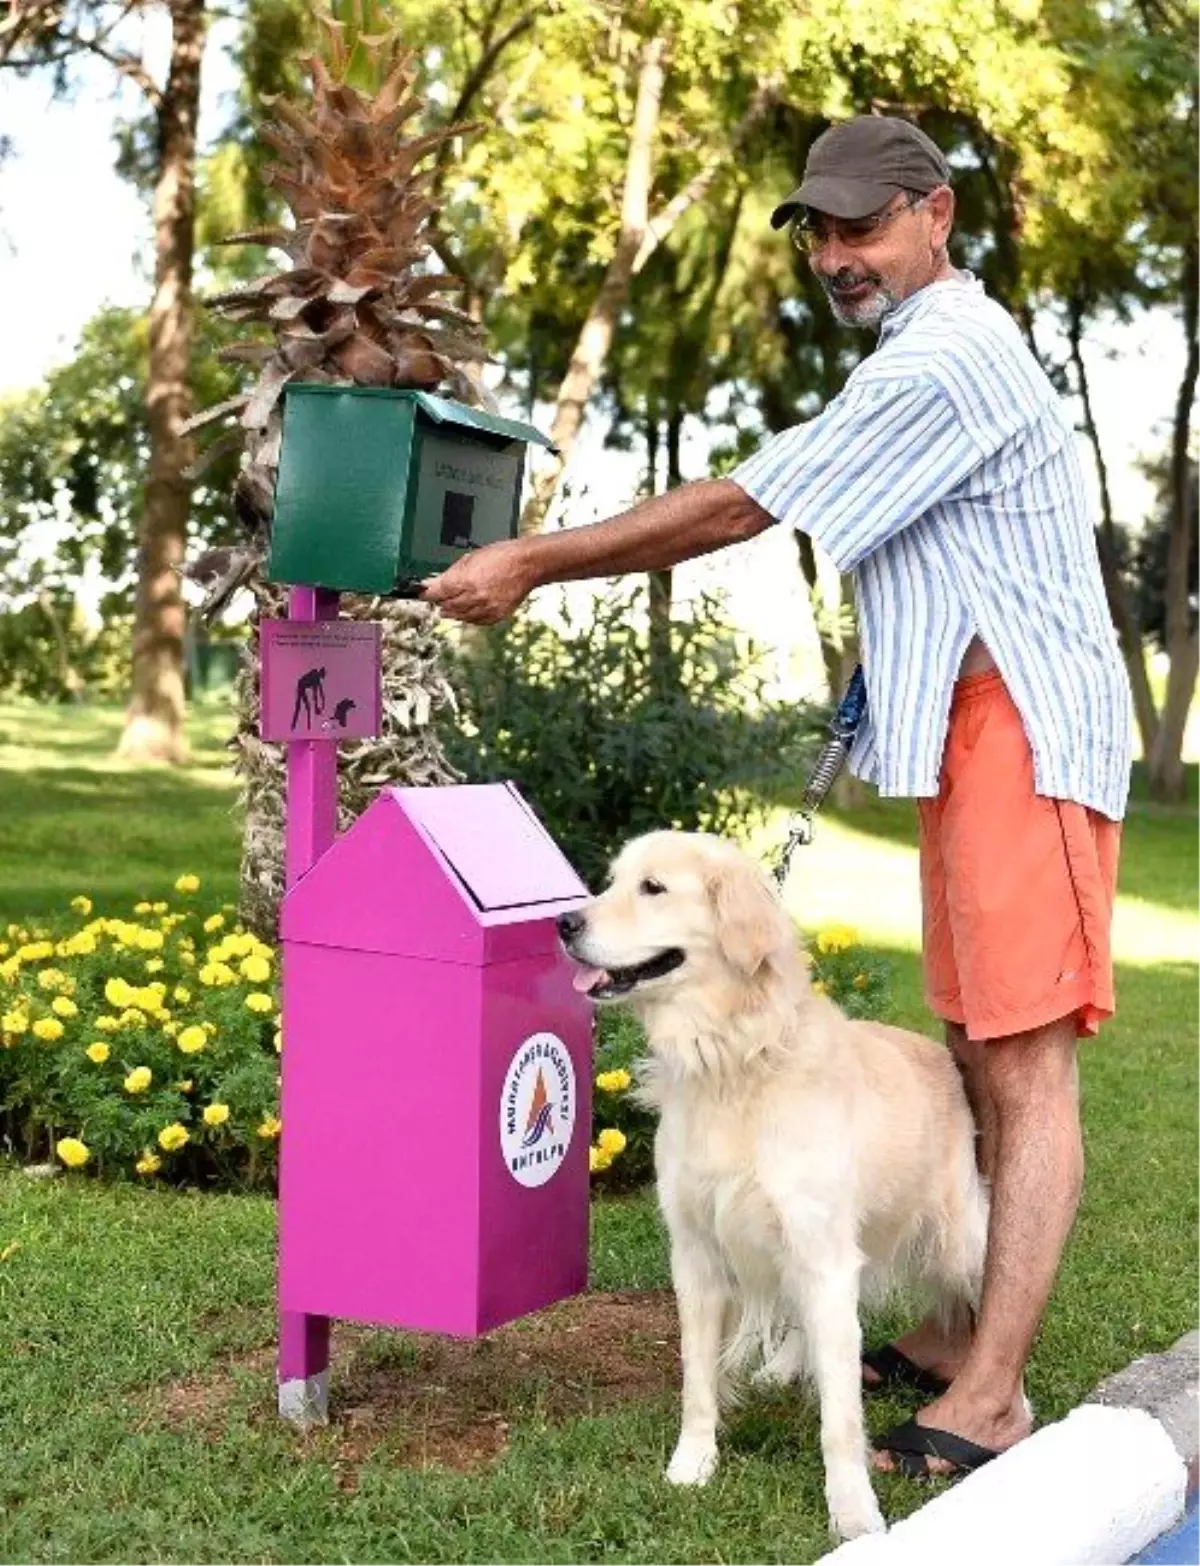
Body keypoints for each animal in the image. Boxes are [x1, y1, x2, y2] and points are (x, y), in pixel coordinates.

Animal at [557, 833, 990, 1540]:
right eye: (612, 880)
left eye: (653, 888)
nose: (563, 923)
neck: (734, 1059)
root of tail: (940, 1056)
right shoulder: (698, 1254)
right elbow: (698, 1380)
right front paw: (692, 1465)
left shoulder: (824, 1255)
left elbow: (840, 1416)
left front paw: (853, 1511)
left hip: (959, 1243)